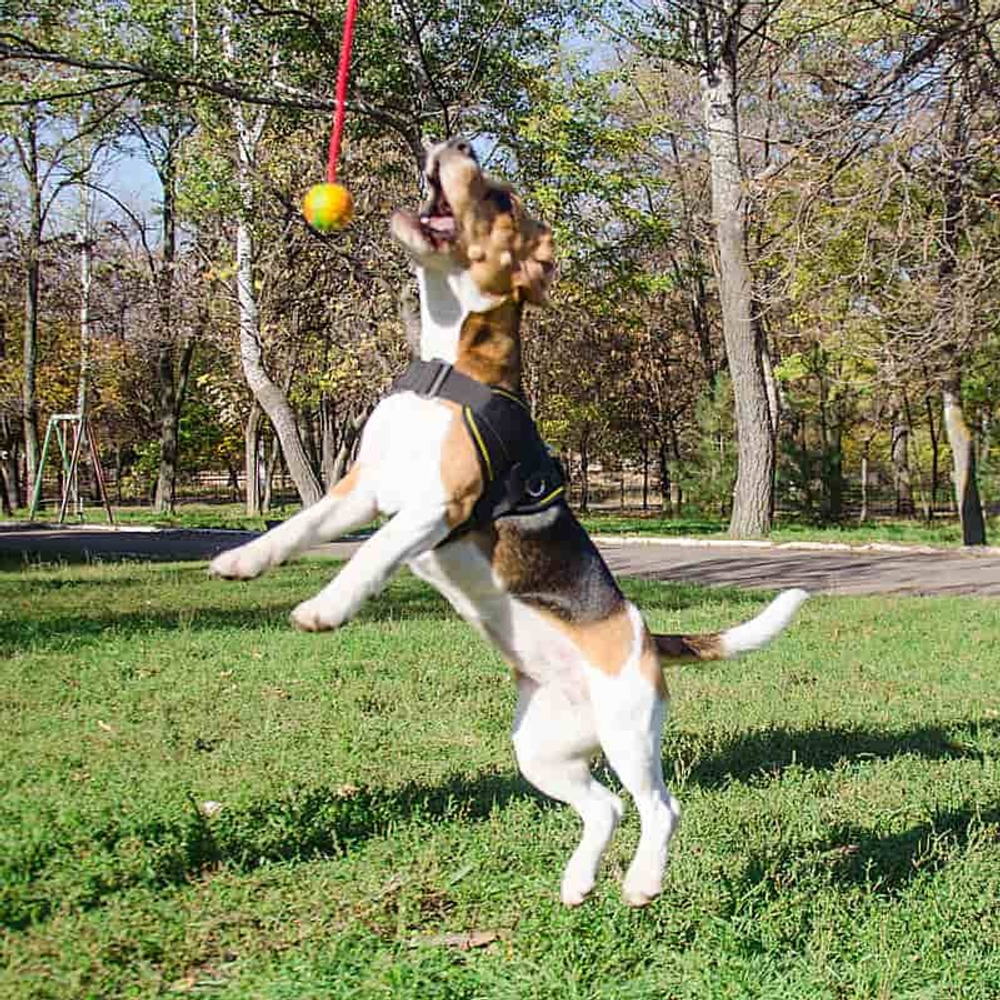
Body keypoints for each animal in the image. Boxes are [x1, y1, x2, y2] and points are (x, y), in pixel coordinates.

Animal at [209, 137, 804, 912]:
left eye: (498, 198)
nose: (455, 143)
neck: (444, 367)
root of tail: (646, 636)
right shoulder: (360, 490)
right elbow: (299, 528)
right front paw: (243, 560)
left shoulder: (435, 507)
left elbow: (372, 555)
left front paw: (325, 607)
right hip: (541, 750)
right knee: (606, 807)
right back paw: (580, 881)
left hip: (628, 733)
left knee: (660, 808)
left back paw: (642, 882)